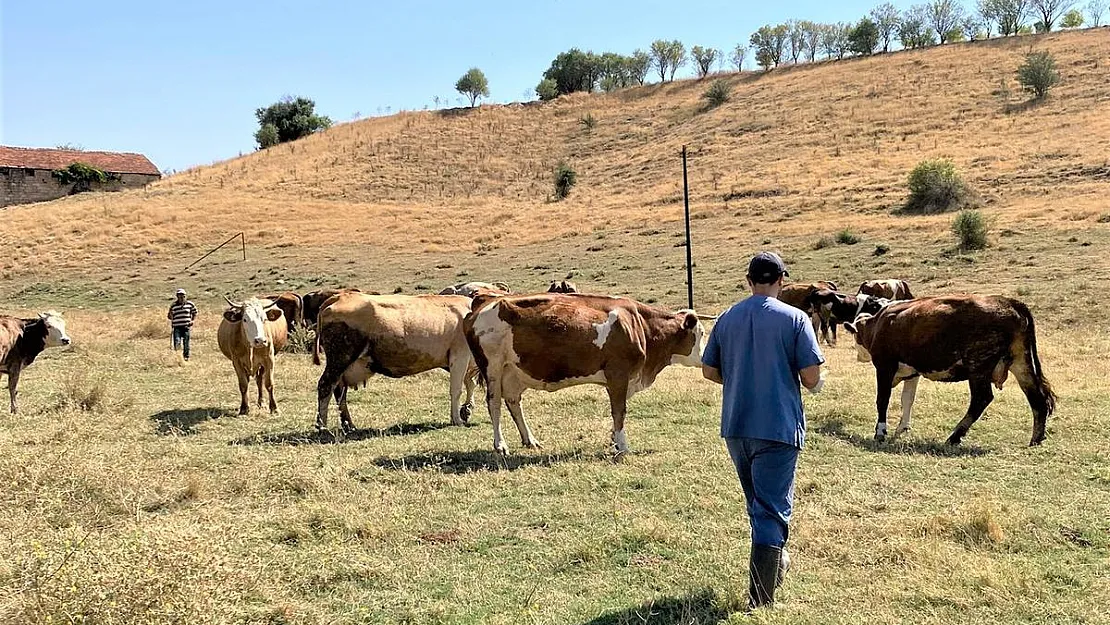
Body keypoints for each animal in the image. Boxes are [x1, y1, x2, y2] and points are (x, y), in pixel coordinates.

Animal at [310, 293, 479, 430]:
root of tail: (338, 296)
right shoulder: (460, 355)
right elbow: (456, 389)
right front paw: (457, 419)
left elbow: (470, 384)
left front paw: (467, 409)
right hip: (340, 358)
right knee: (326, 386)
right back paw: (322, 425)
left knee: (339, 392)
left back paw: (348, 425)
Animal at [461, 290, 705, 457]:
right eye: (701, 333)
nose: (704, 358)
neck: (639, 325)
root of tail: (485, 300)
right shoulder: (618, 375)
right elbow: (619, 412)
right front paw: (622, 446)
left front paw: (614, 439)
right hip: (492, 367)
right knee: (494, 404)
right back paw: (500, 444)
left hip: (513, 371)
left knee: (513, 401)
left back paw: (529, 439)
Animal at [843, 295, 1052, 448]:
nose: (858, 356)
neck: (880, 323)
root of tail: (1009, 302)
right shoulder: (912, 373)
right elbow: (907, 400)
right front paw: (902, 428)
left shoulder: (885, 367)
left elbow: (882, 400)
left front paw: (880, 432)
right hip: (1022, 363)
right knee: (1038, 400)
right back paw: (1035, 439)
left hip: (978, 367)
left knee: (981, 399)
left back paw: (954, 436)